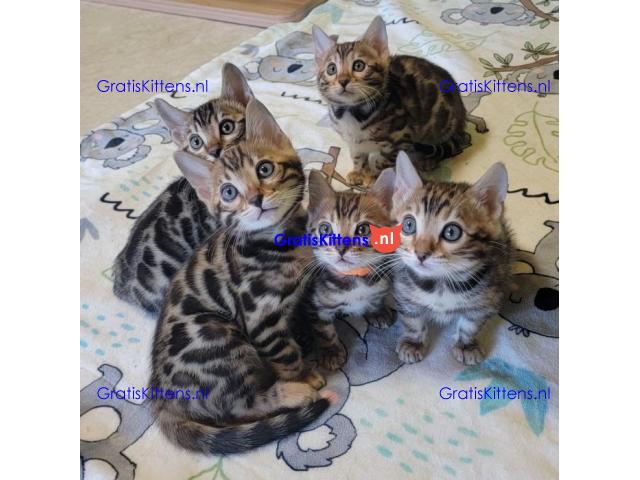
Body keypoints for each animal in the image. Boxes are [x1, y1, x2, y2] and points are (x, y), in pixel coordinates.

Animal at [150, 99, 332, 455]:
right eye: (229, 192)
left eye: (265, 169)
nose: (256, 199)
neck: (281, 241)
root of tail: (162, 400)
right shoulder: (261, 320)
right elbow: (287, 355)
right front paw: (303, 377)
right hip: (217, 335)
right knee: (238, 407)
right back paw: (293, 394)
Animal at [304, 169, 396, 370]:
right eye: (325, 229)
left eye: (363, 229)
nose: (341, 248)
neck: (354, 278)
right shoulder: (314, 303)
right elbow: (323, 328)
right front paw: (330, 351)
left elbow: (376, 298)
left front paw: (377, 311)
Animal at [312, 16, 469, 187]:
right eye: (332, 69)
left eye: (359, 65)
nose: (343, 81)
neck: (351, 112)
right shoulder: (353, 142)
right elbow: (358, 156)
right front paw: (358, 171)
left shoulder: (400, 140)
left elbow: (383, 163)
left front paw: (374, 178)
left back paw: (426, 161)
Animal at [389, 151, 513, 365]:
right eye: (408, 225)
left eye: (451, 232)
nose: (421, 253)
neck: (440, 284)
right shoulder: (404, 289)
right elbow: (412, 318)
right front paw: (413, 342)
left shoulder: (486, 298)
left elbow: (470, 324)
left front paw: (466, 345)